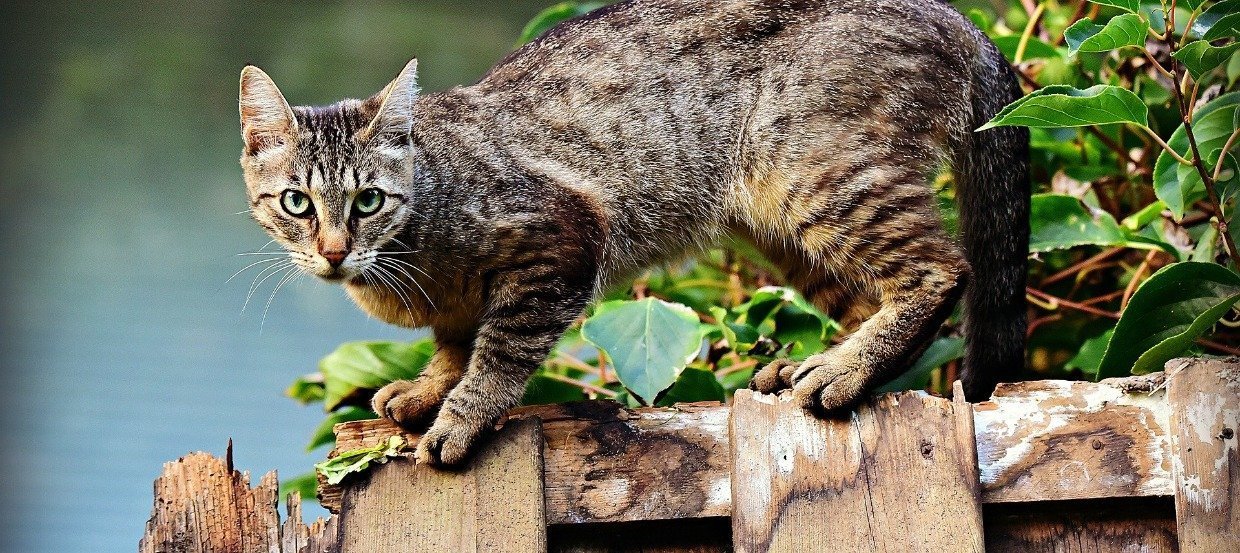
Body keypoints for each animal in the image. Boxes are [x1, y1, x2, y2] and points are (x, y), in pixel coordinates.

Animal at [239, 0, 1026, 466]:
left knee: (942, 270)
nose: (333, 251)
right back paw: (814, 364)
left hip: (814, 173)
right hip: (777, 224)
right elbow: (455, 343)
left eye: (368, 200)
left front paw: (459, 417)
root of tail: (955, 16)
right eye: (297, 203)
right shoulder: (461, 304)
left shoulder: (560, 242)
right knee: (868, 296)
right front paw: (428, 387)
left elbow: (497, 352)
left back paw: (843, 370)